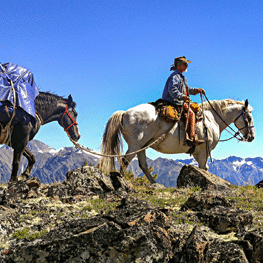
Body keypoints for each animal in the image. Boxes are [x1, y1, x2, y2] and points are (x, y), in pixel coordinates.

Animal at [99, 99, 256, 184]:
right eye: (248, 117)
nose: (252, 137)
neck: (212, 119)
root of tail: (124, 113)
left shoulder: (199, 153)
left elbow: (204, 169)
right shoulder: (203, 152)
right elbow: (203, 169)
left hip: (141, 146)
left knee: (143, 165)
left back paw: (155, 184)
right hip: (135, 145)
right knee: (124, 161)